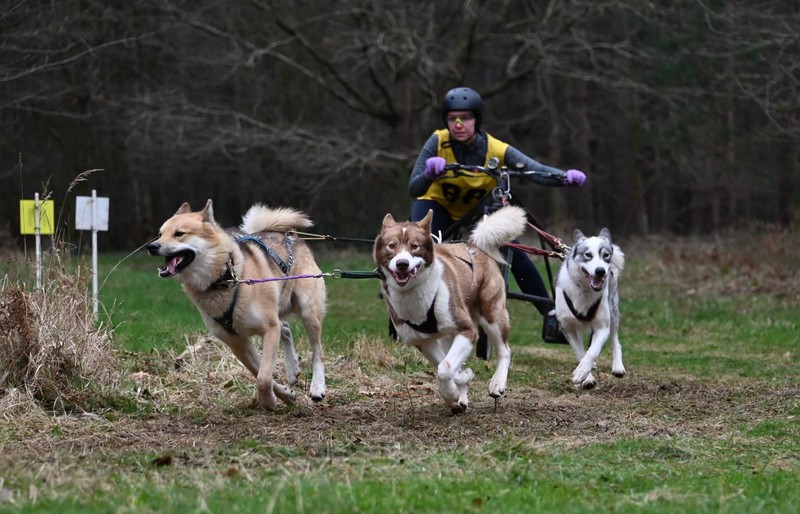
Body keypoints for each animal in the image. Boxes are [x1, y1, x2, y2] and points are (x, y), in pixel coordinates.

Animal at [147, 200, 327, 410]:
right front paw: (284, 395)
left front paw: (269, 401)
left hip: (308, 311)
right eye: (160, 233)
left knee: (317, 351)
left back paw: (317, 386)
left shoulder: (269, 329)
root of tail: (289, 235)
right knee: (286, 328)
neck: (223, 280)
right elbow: (259, 372)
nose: (152, 247)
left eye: (179, 233)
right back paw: (291, 369)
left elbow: (263, 377)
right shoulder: (237, 343)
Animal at [373, 205, 527, 413]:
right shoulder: (424, 341)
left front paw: (454, 389)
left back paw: (497, 383)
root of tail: (473, 244)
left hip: (491, 312)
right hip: (448, 334)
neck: (414, 295)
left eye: (415, 246)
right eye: (391, 246)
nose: (402, 263)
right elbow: (445, 365)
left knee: (504, 350)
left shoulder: (467, 330)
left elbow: (445, 369)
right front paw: (459, 385)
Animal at [554, 228, 626, 389]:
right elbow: (580, 352)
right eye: (588, 255)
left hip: (613, 310)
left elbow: (592, 351)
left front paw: (582, 371)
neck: (585, 291)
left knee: (615, 339)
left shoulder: (602, 327)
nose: (600, 271)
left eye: (606, 255)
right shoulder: (567, 327)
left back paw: (617, 366)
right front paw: (586, 378)